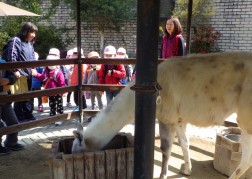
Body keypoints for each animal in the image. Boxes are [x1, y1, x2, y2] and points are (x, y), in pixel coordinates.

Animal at [71, 52, 252, 179]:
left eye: (75, 151)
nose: (71, 156)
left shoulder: (167, 116)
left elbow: (165, 149)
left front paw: (162, 175)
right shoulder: (179, 119)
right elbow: (184, 143)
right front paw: (186, 169)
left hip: (246, 115)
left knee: (247, 157)